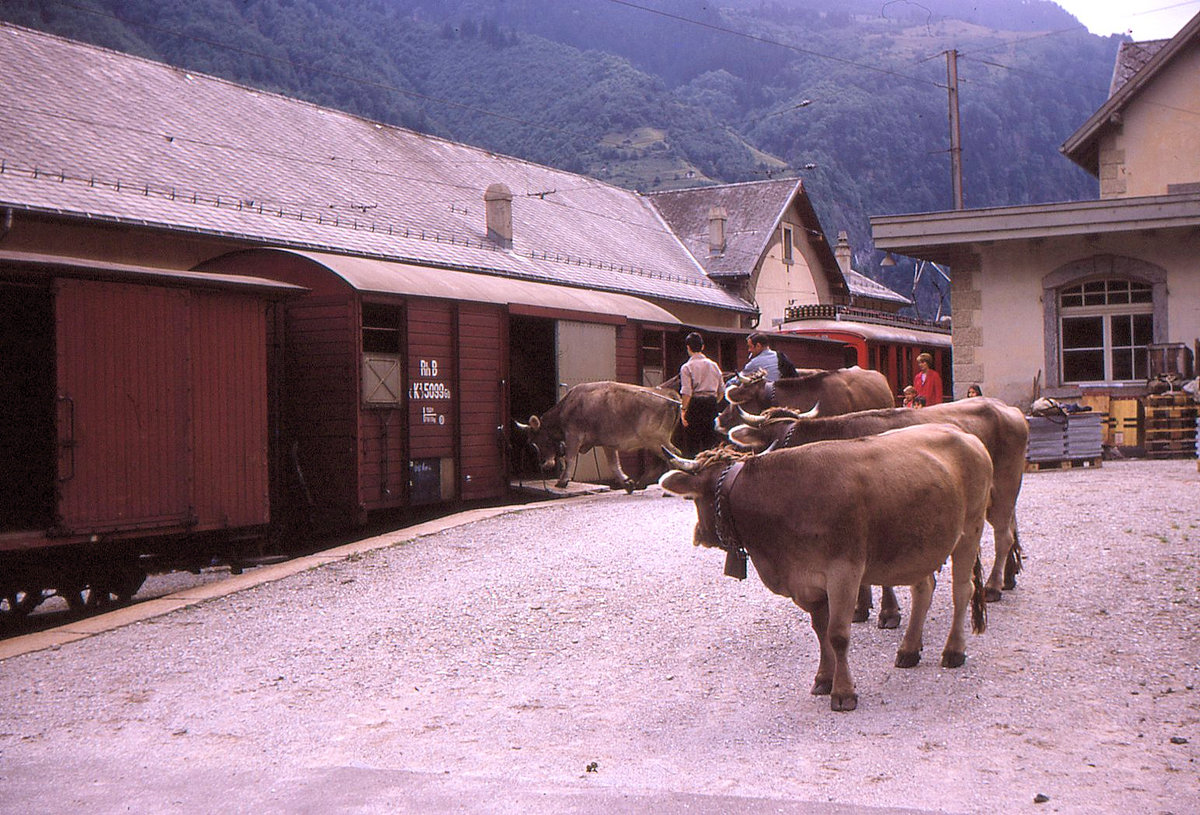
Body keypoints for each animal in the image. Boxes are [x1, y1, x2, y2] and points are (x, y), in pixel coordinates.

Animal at [516, 381, 686, 492]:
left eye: (536, 440)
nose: (543, 464)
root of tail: (668, 393)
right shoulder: (608, 444)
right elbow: (614, 465)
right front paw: (627, 482)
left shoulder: (573, 436)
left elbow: (570, 458)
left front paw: (562, 481)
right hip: (655, 441)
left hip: (656, 440)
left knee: (673, 455)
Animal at [662, 424, 988, 710]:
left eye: (693, 498)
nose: (699, 534)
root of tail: (964, 435)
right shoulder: (807, 582)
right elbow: (821, 631)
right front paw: (824, 678)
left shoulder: (844, 572)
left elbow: (838, 635)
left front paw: (843, 692)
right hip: (920, 546)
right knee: (924, 589)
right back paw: (909, 649)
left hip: (969, 531)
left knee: (963, 590)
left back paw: (954, 650)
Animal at [729, 396, 1032, 604]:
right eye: (764, 440)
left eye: (785, 438)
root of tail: (1006, 407)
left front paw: (886, 611)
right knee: (1012, 528)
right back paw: (1009, 577)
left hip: (1004, 486)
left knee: (1003, 535)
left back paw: (993, 586)